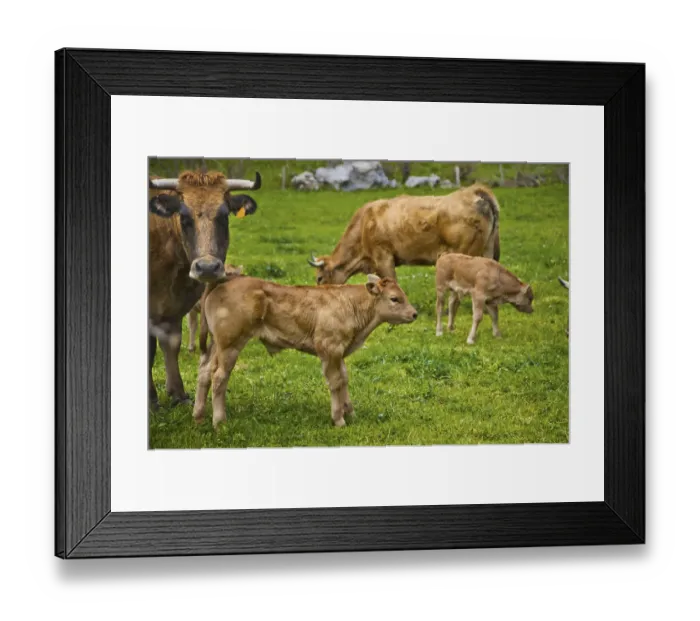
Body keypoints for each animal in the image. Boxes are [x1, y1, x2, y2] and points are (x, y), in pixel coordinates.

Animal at [148, 169, 261, 409]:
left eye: (224, 216)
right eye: (184, 218)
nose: (207, 267)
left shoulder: (176, 306)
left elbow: (172, 343)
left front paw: (178, 393)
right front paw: (151, 398)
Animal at [193, 274, 418, 429]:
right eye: (395, 298)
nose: (414, 314)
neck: (351, 305)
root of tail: (224, 281)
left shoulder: (339, 351)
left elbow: (344, 379)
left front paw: (350, 412)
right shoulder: (329, 348)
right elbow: (335, 382)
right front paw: (339, 419)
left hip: (215, 345)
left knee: (204, 372)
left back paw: (199, 415)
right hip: (230, 345)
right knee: (219, 377)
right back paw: (219, 421)